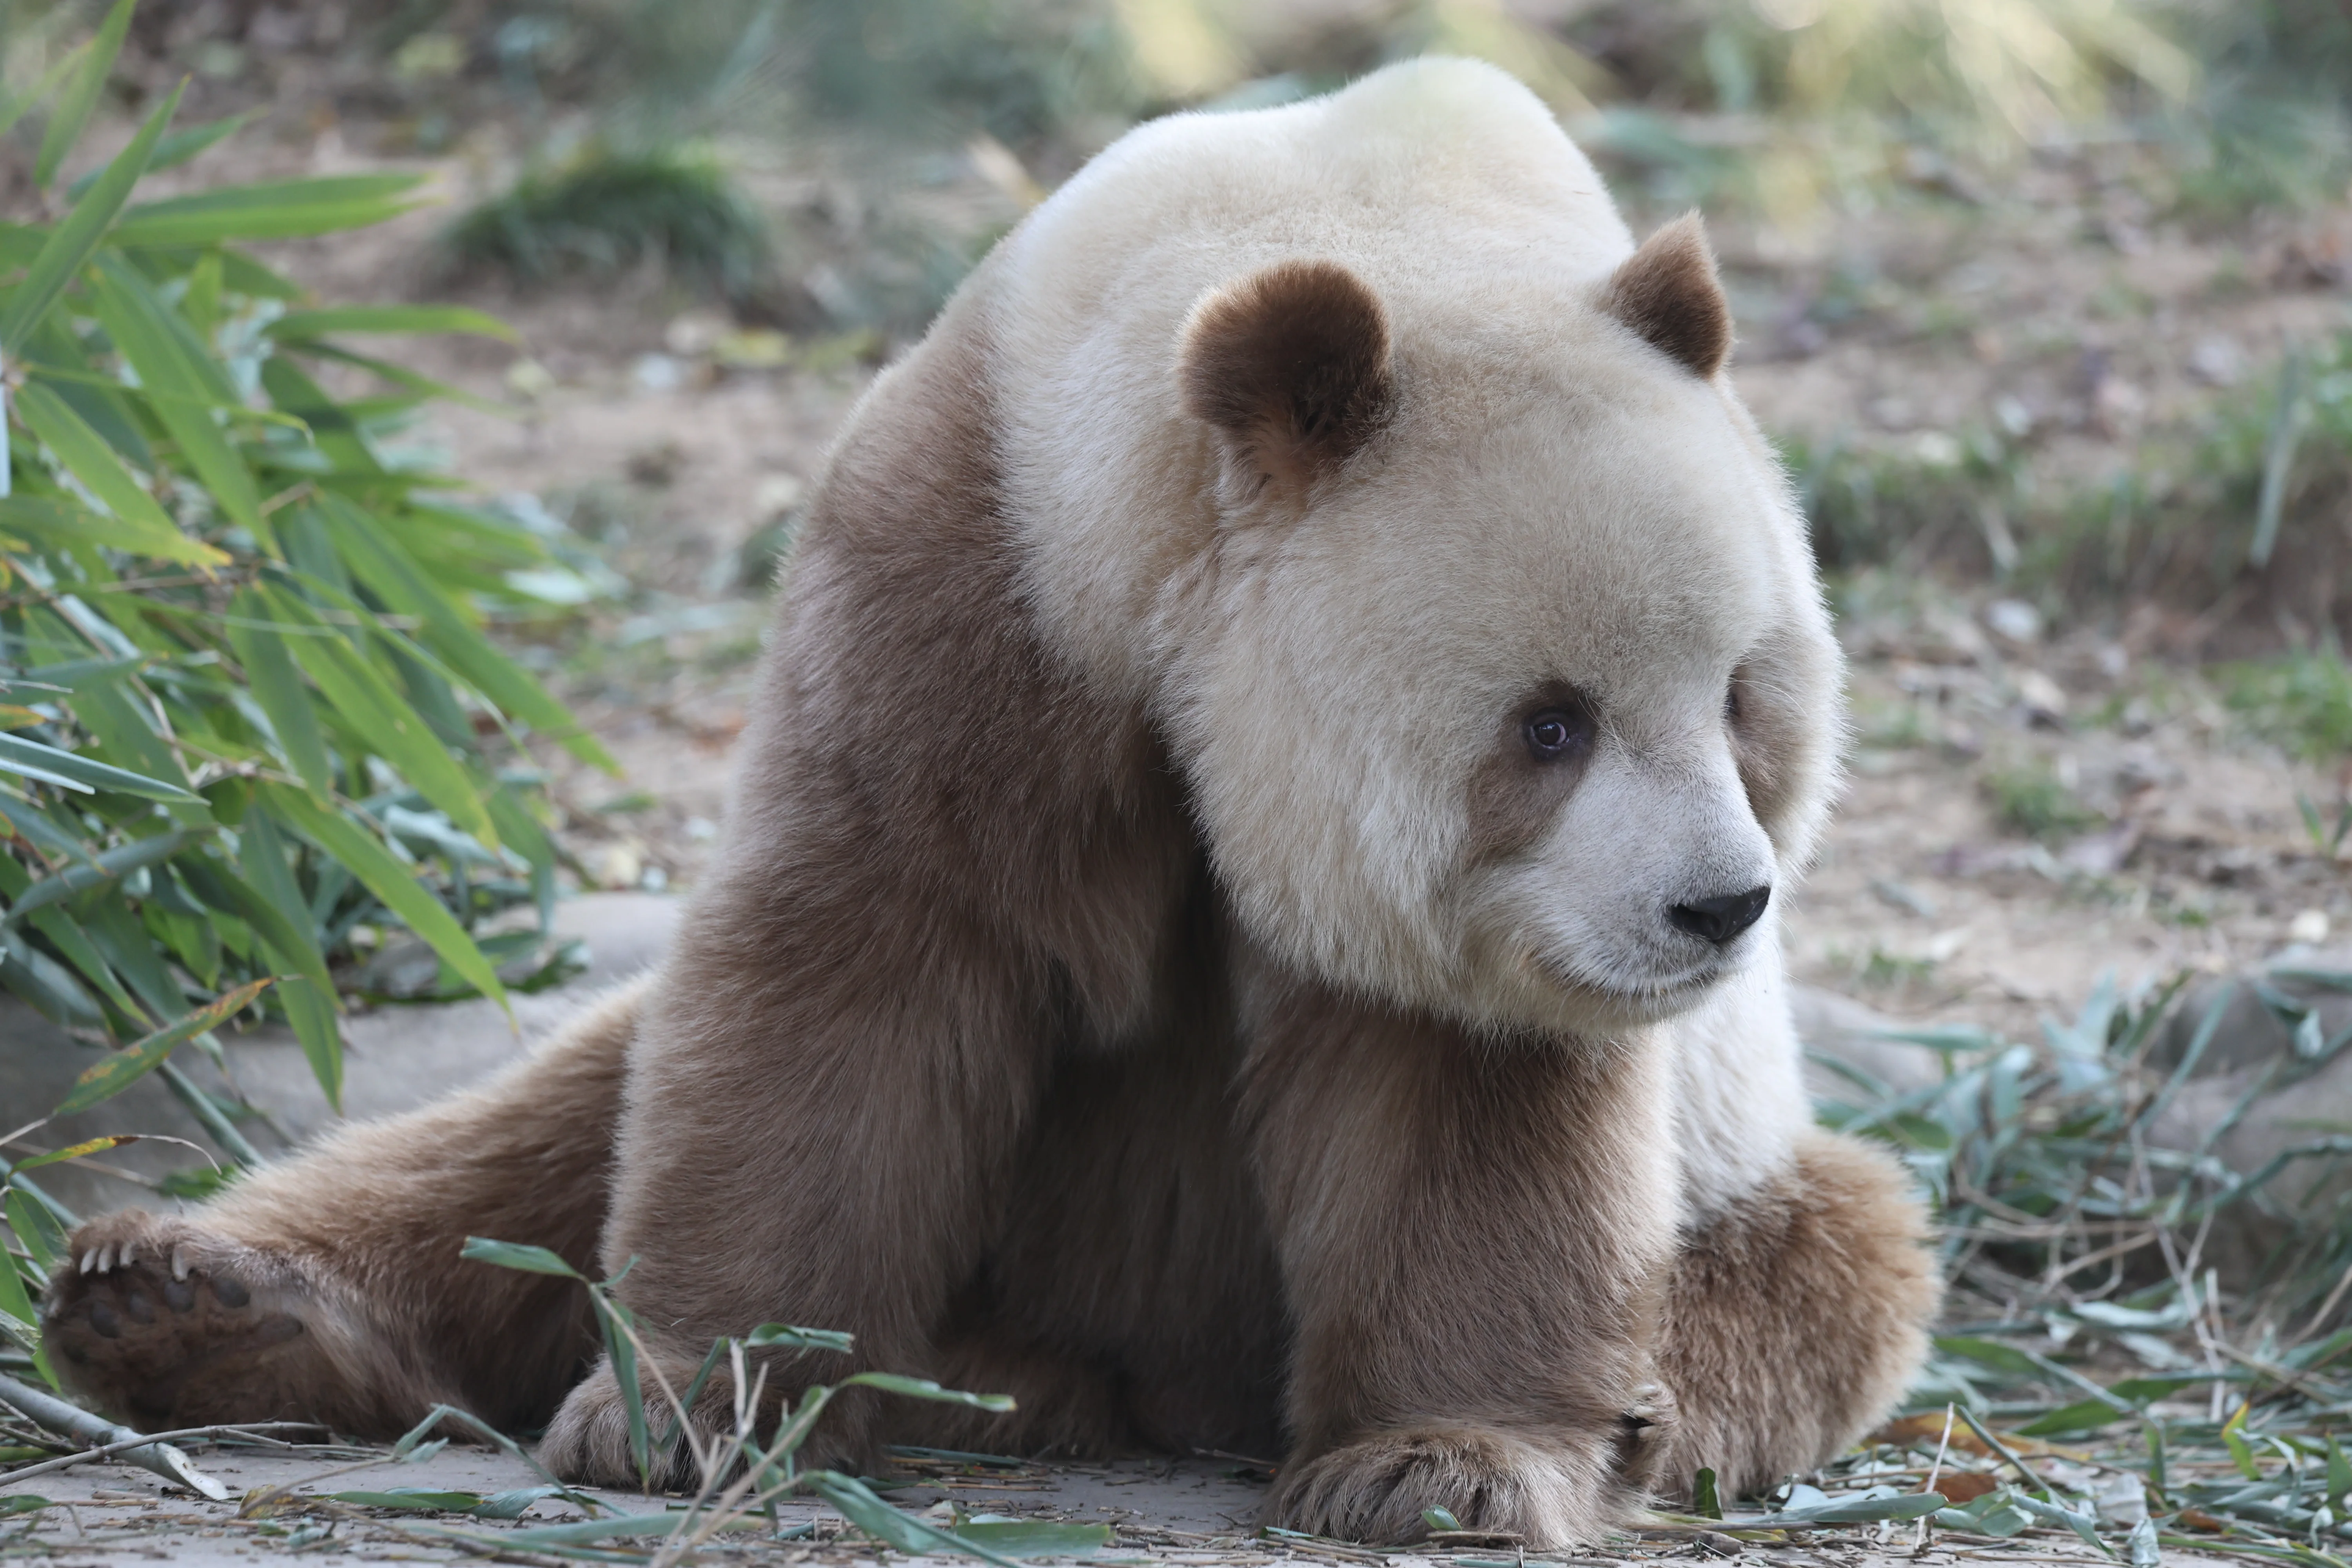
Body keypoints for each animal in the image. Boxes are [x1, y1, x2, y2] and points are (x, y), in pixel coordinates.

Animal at [46, 58, 1936, 1548]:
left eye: (1740, 695)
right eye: (1550, 724)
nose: (1715, 905)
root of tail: (1139, 1361)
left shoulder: (1483, 929)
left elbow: (1463, 1095)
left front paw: (1436, 1465)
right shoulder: (970, 573)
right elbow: (851, 980)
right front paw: (692, 1407)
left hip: (1745, 1176)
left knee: (1820, 1271)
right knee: (549, 1125)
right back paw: (184, 1299)